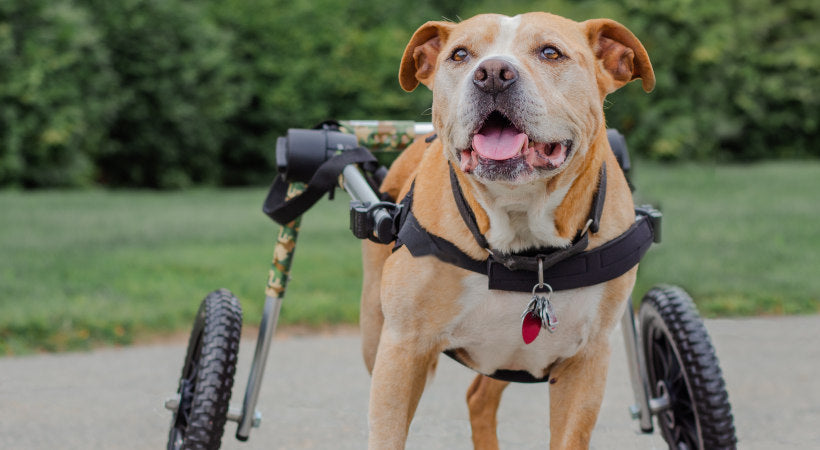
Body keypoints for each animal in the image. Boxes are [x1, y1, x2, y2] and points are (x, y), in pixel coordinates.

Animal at [358, 12, 652, 448]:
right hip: (376, 336)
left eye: (550, 52)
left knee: (479, 397)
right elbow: (387, 433)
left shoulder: (587, 361)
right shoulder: (403, 349)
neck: (521, 228)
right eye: (460, 55)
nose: (493, 73)